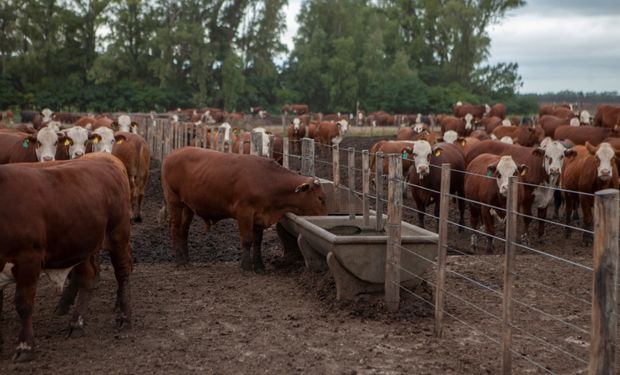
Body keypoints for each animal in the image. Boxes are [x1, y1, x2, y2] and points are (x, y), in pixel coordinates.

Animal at [0, 154, 132, 362]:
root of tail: (107, 158)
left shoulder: (28, 259)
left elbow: (24, 304)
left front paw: (25, 346)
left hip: (118, 235)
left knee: (122, 274)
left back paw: (124, 316)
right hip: (80, 245)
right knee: (87, 277)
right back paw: (76, 323)